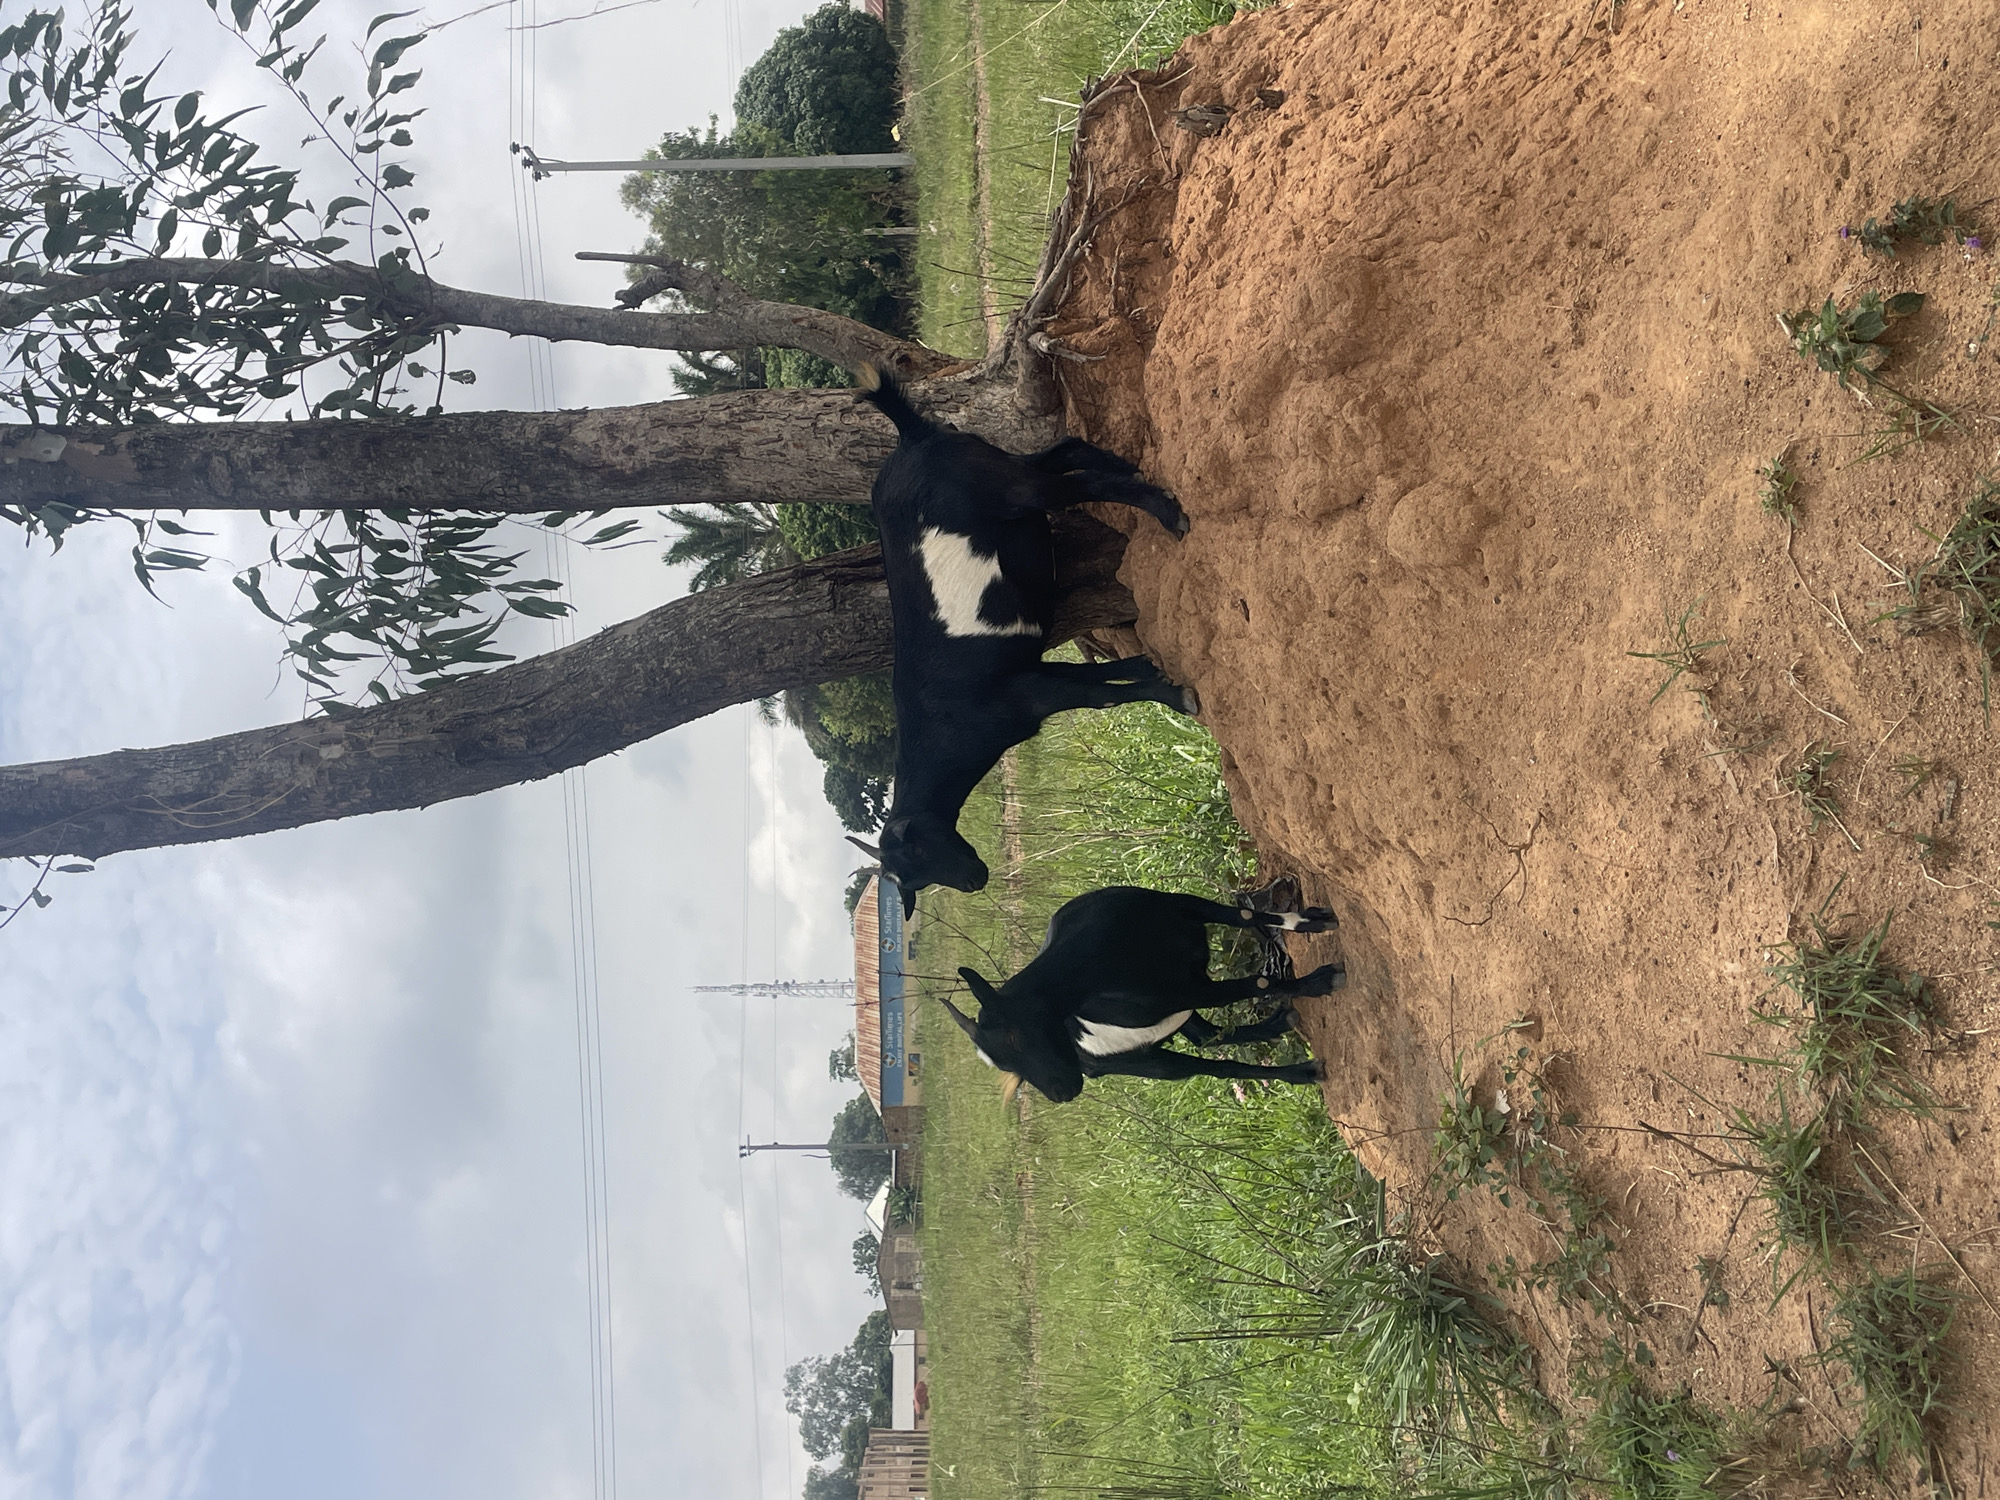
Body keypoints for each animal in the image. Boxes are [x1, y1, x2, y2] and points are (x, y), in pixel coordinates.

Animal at [844, 367, 1198, 917]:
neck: (948, 724)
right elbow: (1099, 674)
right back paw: (1129, 463)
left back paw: (1166, 511)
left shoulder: (1028, 693)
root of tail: (912, 437)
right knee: (1065, 451)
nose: (976, 880)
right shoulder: (1035, 670)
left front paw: (1177, 695)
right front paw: (1149, 665)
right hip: (996, 461)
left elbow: (1100, 697)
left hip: (1006, 487)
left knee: (1077, 482)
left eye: (917, 850)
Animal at [934, 885, 1345, 1103]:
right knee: (1214, 1059)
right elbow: (1259, 983)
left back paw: (1279, 1023)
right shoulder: (1189, 992)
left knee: (1207, 1036)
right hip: (1141, 1059)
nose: (1061, 1093)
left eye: (1015, 1037)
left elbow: (1244, 917)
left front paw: (1312, 921)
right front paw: (1322, 981)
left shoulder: (1180, 905)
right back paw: (1302, 1069)